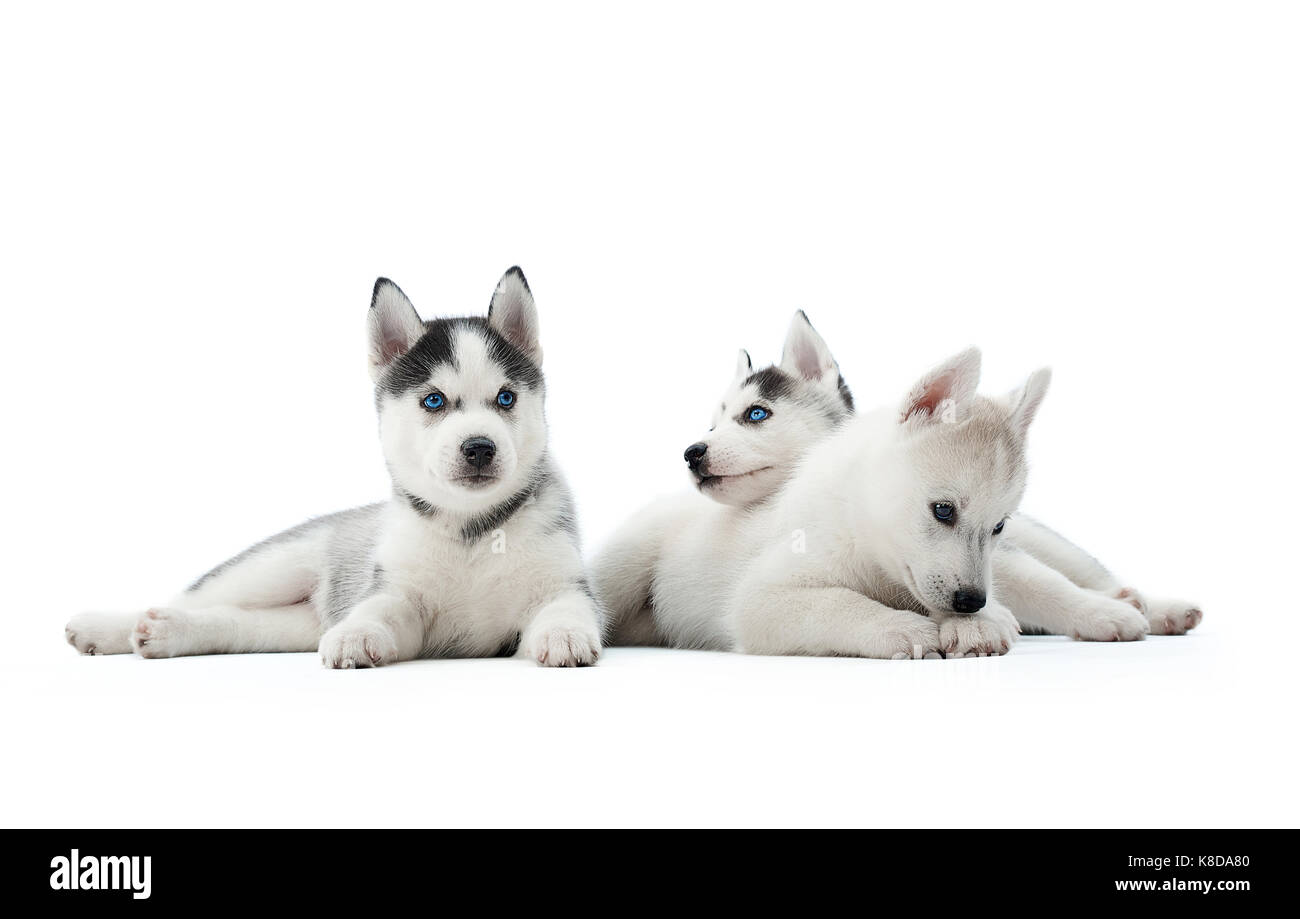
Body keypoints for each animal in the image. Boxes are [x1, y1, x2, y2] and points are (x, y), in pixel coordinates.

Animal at [63, 266, 600, 670]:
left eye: (506, 398)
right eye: (433, 400)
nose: (480, 448)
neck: (471, 531)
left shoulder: (565, 582)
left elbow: (568, 606)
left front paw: (566, 634)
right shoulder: (395, 594)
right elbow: (375, 610)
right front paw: (356, 634)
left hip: (294, 623)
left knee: (241, 624)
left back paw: (166, 634)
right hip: (272, 567)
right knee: (191, 597)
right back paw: (108, 627)